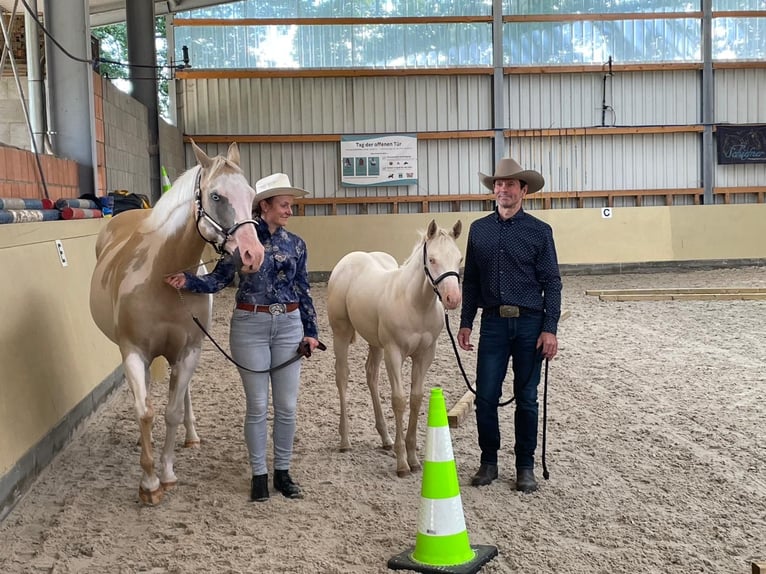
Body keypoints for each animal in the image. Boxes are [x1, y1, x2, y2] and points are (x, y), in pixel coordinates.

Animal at [89, 141, 264, 504]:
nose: (253, 255)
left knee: (182, 397)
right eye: (216, 196)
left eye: (251, 194)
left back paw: (191, 435)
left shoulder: (188, 351)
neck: (162, 275)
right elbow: (145, 411)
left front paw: (166, 474)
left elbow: (170, 411)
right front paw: (148, 482)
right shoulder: (133, 351)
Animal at [327, 219, 463, 477]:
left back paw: (385, 438)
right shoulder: (394, 352)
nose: (452, 298)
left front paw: (413, 458)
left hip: (375, 343)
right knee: (342, 377)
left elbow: (416, 398)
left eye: (459, 258)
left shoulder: (424, 355)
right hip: (341, 333)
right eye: (432, 259)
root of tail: (347, 261)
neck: (415, 304)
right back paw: (345, 440)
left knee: (371, 375)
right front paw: (402, 463)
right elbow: (399, 400)